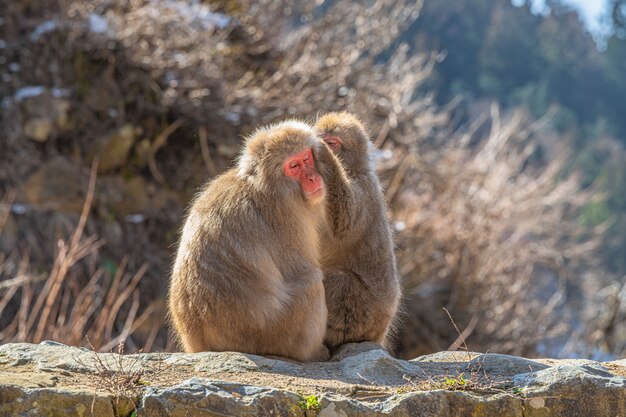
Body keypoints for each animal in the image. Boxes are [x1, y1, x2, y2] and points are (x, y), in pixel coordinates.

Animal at [168, 119, 338, 360]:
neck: (267, 186)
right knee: (311, 283)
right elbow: (299, 271)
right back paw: (313, 353)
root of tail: (199, 343)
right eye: (294, 166)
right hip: (273, 334)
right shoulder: (286, 219)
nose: (313, 178)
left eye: (307, 158)